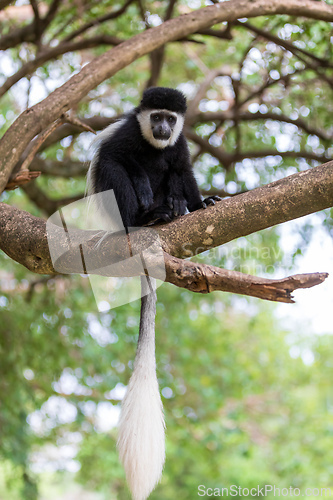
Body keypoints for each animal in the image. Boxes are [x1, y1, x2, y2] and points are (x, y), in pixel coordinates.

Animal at [87, 87, 219, 500]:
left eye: (171, 119)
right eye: (155, 116)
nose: (162, 128)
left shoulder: (180, 145)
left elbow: (184, 171)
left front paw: (201, 202)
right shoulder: (129, 133)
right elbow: (117, 158)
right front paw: (143, 184)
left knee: (173, 176)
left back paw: (174, 209)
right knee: (114, 170)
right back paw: (144, 218)